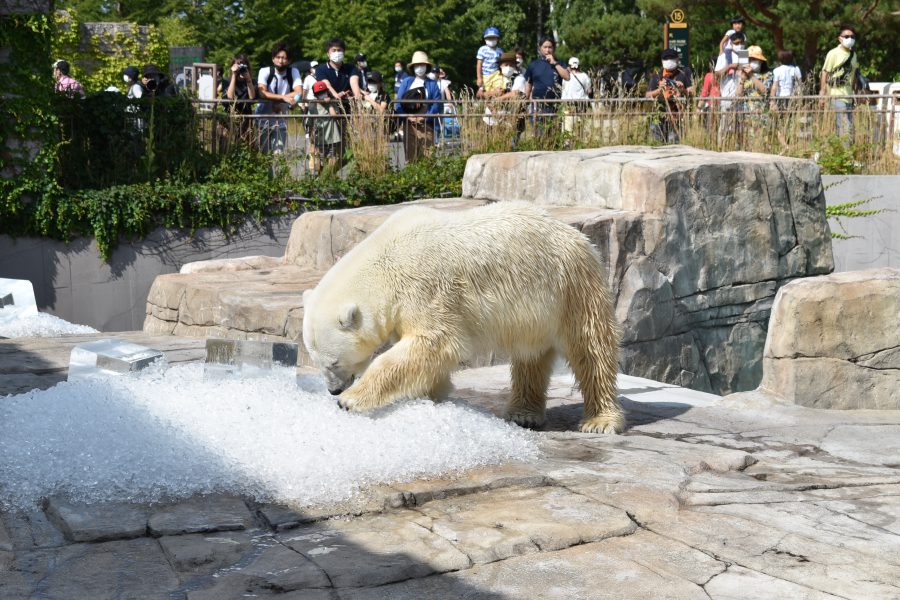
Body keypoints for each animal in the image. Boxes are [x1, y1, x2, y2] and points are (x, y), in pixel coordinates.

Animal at [298, 202, 624, 432]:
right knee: (530, 356)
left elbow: (435, 342)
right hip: (534, 311)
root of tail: (578, 236)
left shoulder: (424, 286)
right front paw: (431, 393)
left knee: (590, 348)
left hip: (570, 287)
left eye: (334, 362)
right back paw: (524, 413)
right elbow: (426, 353)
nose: (333, 389)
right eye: (316, 361)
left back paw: (600, 420)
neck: (386, 261)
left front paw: (351, 400)